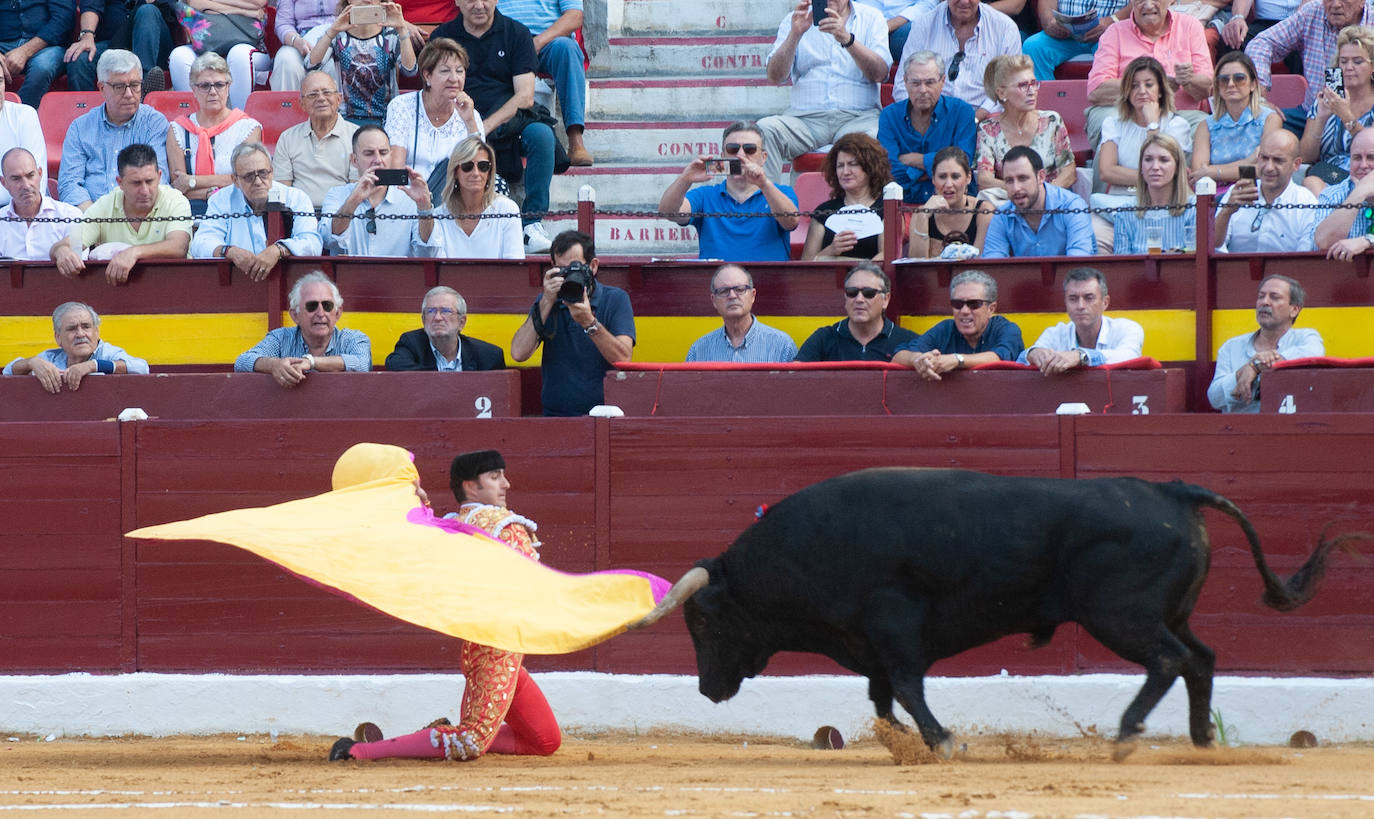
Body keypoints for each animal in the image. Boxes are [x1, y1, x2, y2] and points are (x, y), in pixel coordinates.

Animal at [632, 469, 1352, 758]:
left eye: (701, 621)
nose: (707, 688)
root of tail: (1170, 490)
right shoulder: (870, 640)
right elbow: (880, 699)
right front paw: (905, 742)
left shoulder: (893, 627)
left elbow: (904, 687)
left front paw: (942, 740)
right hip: (1167, 613)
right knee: (1200, 658)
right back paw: (1202, 741)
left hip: (1121, 616)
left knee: (1170, 661)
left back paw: (1126, 734)